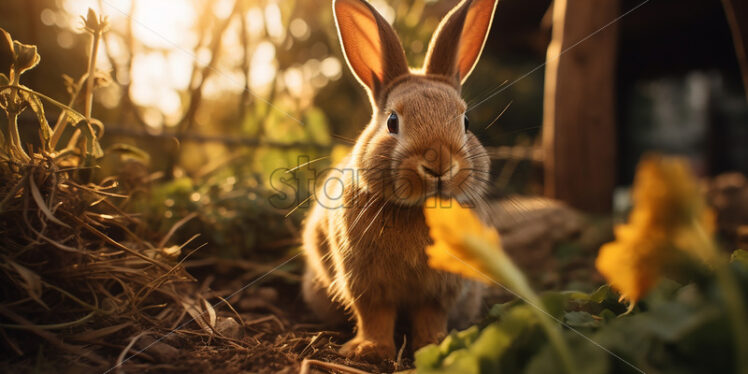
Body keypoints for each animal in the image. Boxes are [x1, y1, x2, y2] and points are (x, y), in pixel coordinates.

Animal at [300, 0, 500, 362]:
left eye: (465, 122)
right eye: (392, 121)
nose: (439, 165)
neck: (417, 210)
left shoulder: (440, 289)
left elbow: (430, 315)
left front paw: (435, 344)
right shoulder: (365, 283)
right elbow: (374, 315)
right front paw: (368, 350)